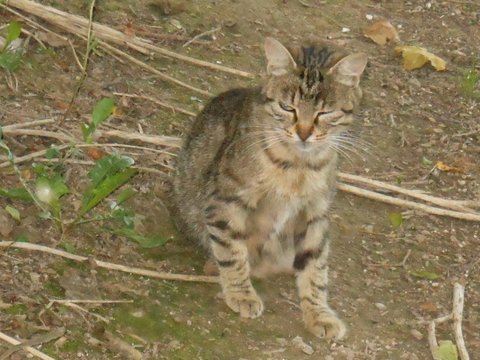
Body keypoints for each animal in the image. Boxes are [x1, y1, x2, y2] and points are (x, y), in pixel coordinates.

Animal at [172, 38, 368, 338]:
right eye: (288, 108)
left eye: (324, 113)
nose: (303, 133)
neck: (299, 165)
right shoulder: (226, 201)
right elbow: (232, 250)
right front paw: (241, 293)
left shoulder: (315, 214)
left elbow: (315, 267)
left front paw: (319, 313)